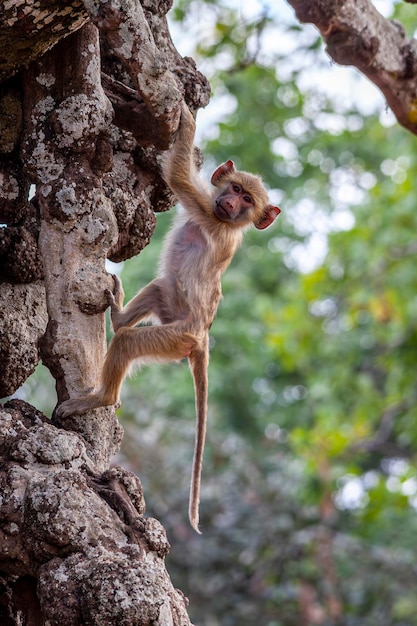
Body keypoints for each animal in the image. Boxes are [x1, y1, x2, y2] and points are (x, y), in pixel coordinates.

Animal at [57, 102, 280, 532]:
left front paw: (184, 115)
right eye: (235, 190)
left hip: (175, 338)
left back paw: (102, 395)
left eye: (247, 201)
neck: (227, 223)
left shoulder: (207, 211)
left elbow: (177, 176)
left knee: (130, 342)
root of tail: (202, 337)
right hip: (171, 319)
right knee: (161, 289)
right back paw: (119, 315)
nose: (231, 204)